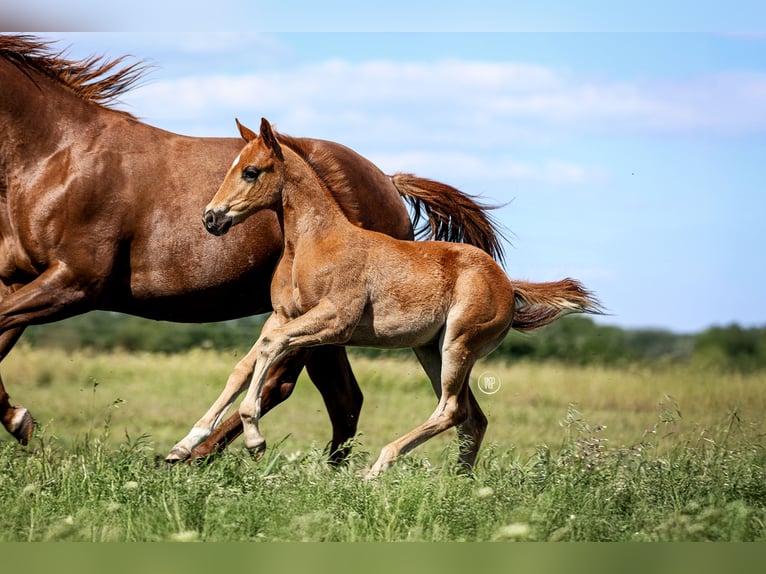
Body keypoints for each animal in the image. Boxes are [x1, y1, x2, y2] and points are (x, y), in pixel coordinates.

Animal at [0, 34, 506, 463]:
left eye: (249, 172)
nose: (210, 218)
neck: (57, 155)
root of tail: (388, 180)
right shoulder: (20, 279)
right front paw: (19, 420)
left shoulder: (75, 282)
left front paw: (20, 421)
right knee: (344, 399)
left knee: (291, 385)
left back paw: (205, 455)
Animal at [196, 118, 603, 478]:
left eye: (251, 171)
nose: (211, 218)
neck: (314, 243)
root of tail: (508, 284)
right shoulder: (282, 315)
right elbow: (243, 366)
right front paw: (191, 439)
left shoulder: (335, 322)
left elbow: (271, 346)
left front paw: (254, 438)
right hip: (431, 350)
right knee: (472, 417)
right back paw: (459, 484)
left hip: (458, 345)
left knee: (451, 410)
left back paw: (379, 467)